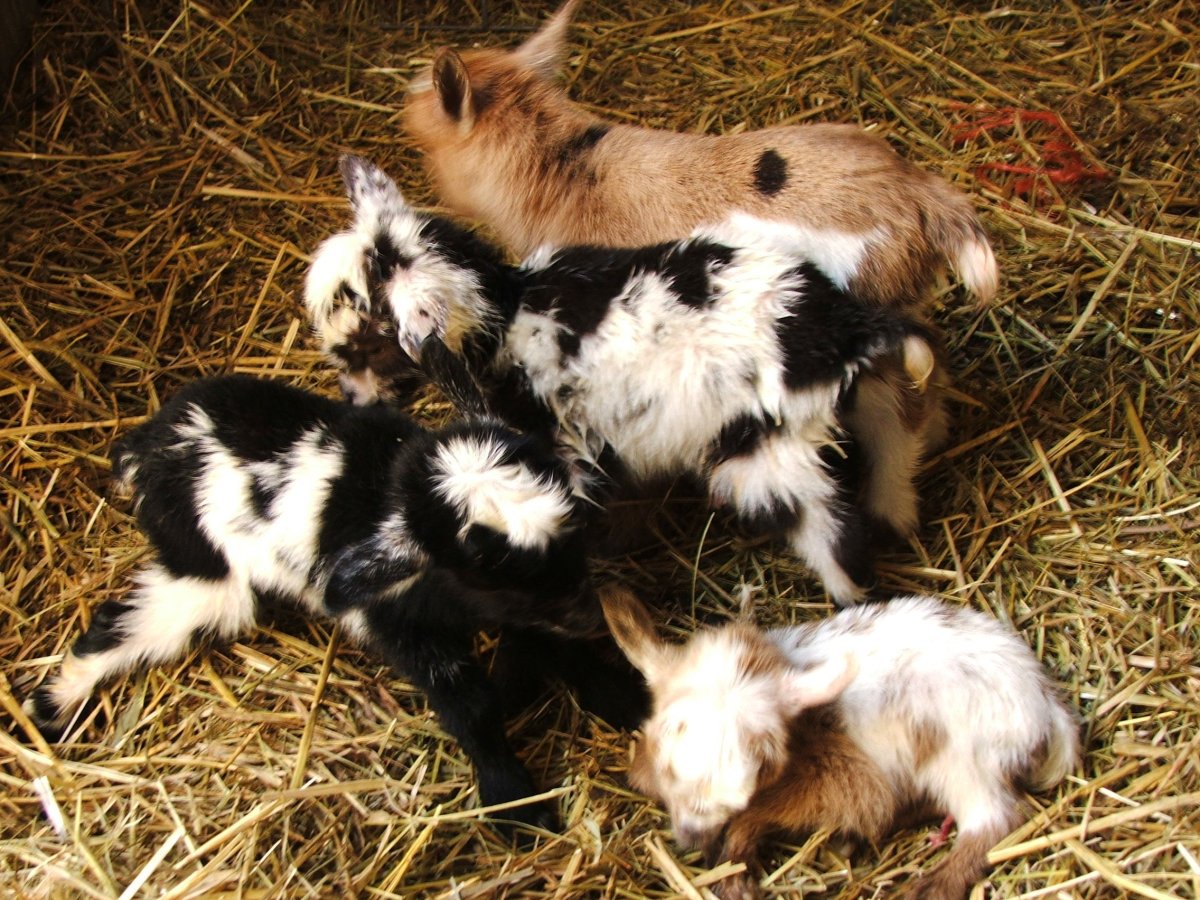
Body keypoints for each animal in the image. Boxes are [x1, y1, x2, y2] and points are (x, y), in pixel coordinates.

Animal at [25, 375, 647, 833]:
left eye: (574, 542)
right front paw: (515, 803)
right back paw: (49, 708)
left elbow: (557, 648)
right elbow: (469, 704)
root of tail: (145, 444)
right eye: (496, 578)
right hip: (206, 569)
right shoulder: (398, 625)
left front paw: (628, 698)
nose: (592, 616)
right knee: (121, 623)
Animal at [305, 156, 946, 606]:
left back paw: (851, 599)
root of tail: (833, 331)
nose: (349, 396)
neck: (507, 312)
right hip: (850, 389)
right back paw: (895, 508)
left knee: (833, 533)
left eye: (371, 341)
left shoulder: (562, 452)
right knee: (894, 421)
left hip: (765, 453)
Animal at [600, 585, 1080, 900]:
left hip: (962, 757)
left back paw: (929, 886)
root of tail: (1044, 701)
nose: (691, 838)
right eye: (668, 761)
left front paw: (735, 873)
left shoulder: (836, 779)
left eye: (761, 767)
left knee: (995, 819)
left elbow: (759, 816)